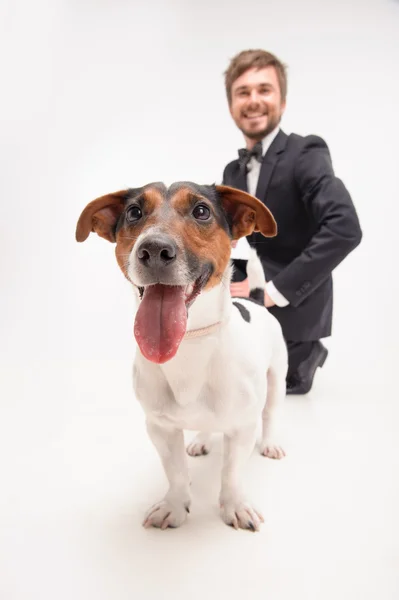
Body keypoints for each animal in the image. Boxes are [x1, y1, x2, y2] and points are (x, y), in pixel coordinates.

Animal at [76, 182, 288, 528]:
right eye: (134, 212)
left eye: (201, 211)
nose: (153, 250)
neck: (189, 344)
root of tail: (253, 301)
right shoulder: (160, 428)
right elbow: (175, 472)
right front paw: (174, 506)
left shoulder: (242, 427)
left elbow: (231, 474)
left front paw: (234, 506)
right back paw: (202, 439)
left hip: (277, 380)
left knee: (269, 414)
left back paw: (270, 443)